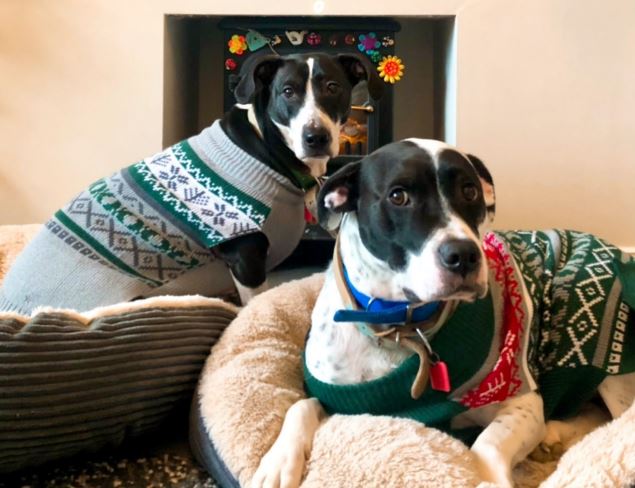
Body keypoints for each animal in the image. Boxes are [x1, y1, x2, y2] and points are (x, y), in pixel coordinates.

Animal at [0, 53, 382, 312]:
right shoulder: (246, 257)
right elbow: (252, 305)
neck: (267, 148)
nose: (315, 137)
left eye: (332, 87)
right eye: (287, 91)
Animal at [253, 139, 635, 486]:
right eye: (398, 196)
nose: (464, 255)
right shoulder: (337, 394)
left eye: (469, 191)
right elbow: (300, 405)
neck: (397, 327)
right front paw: (278, 462)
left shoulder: (522, 400)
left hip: (611, 370)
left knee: (616, 420)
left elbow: (487, 445)